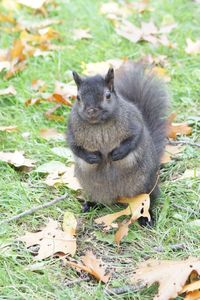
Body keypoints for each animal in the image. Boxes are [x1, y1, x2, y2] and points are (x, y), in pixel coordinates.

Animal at [67, 60, 169, 225]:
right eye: (78, 97)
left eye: (108, 95)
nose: (91, 111)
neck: (99, 125)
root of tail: (118, 195)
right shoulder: (71, 131)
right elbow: (74, 147)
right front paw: (92, 157)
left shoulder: (134, 122)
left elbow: (135, 138)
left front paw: (117, 154)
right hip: (94, 189)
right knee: (101, 201)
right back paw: (91, 204)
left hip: (145, 185)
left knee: (148, 200)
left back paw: (146, 217)